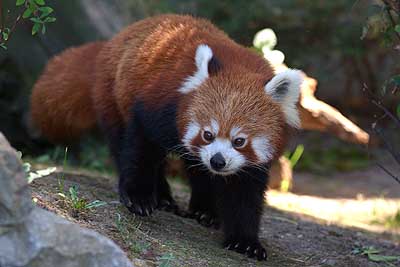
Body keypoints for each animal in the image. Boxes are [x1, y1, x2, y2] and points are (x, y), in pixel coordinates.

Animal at [29, 14, 304, 262]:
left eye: (239, 141)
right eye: (208, 134)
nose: (217, 161)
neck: (239, 67)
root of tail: (111, 43)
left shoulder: (253, 164)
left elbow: (244, 195)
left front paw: (245, 241)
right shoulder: (160, 108)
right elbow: (140, 149)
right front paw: (138, 197)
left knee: (197, 170)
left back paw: (205, 210)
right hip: (111, 96)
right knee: (124, 144)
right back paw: (162, 196)